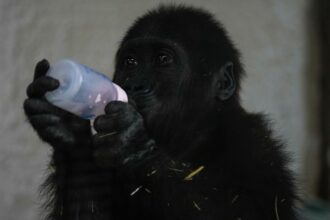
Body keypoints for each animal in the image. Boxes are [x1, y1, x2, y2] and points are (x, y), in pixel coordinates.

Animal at [23, 4, 296, 220]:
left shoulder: (257, 147)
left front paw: (134, 147)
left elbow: (243, 213)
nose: (135, 85)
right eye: (130, 62)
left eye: (163, 59)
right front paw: (68, 128)